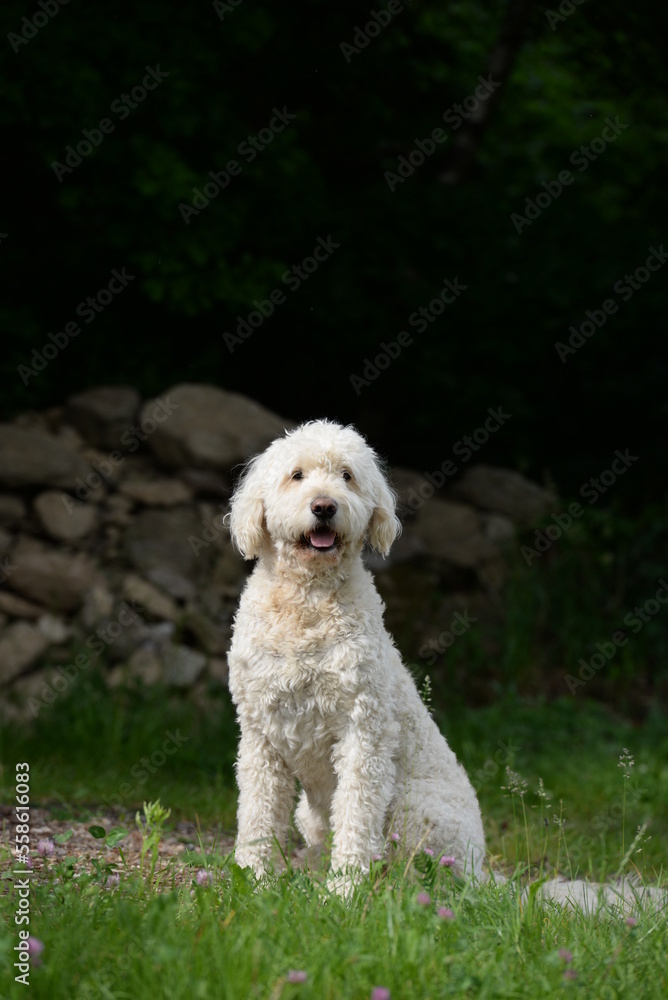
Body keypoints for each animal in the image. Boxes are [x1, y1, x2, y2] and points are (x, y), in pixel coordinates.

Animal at [226, 418, 486, 888]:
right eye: (297, 475)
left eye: (346, 475)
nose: (325, 506)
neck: (307, 601)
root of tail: (486, 871)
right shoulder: (260, 735)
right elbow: (257, 812)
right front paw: (253, 879)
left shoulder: (363, 731)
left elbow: (357, 815)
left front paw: (345, 888)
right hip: (309, 812)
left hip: (416, 808)